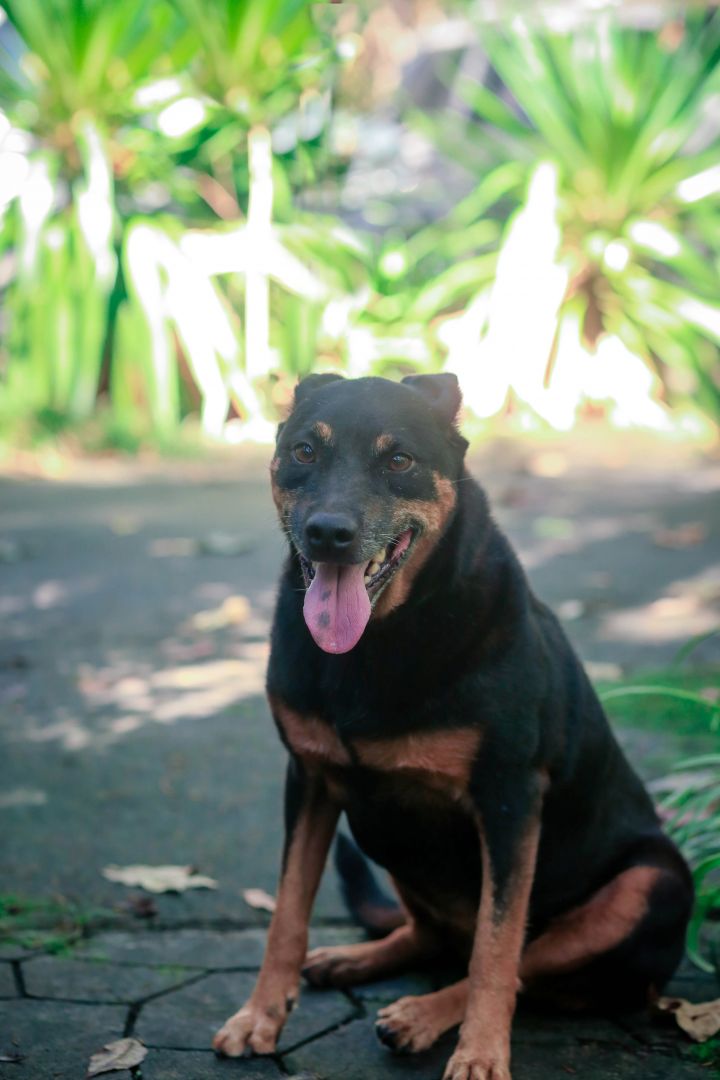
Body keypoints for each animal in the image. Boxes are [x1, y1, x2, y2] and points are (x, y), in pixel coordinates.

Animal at [212, 373, 690, 1080]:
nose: (327, 533)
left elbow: (498, 949)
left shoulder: (511, 800)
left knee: (519, 963)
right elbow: (287, 914)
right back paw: (353, 960)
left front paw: (482, 1053)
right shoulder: (310, 778)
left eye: (399, 460)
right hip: (392, 837)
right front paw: (259, 1016)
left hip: (651, 884)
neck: (378, 641)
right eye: (303, 451)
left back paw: (418, 1015)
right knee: (431, 936)